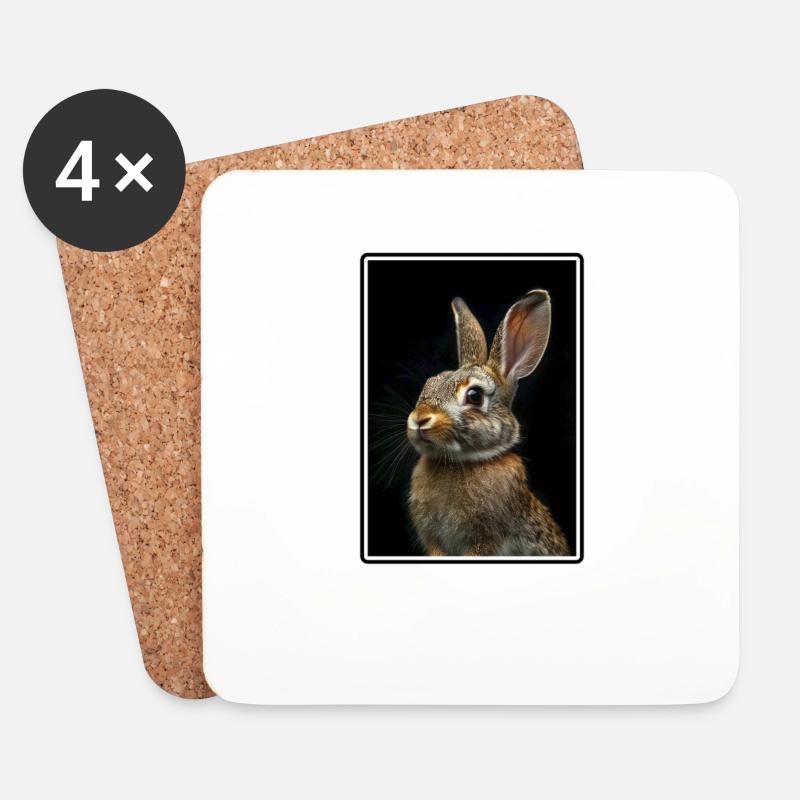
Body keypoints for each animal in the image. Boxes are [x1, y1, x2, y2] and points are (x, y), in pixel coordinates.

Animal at [406, 289, 570, 557]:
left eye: (474, 395)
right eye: (429, 384)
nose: (420, 419)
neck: (460, 462)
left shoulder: (485, 541)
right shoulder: (434, 543)